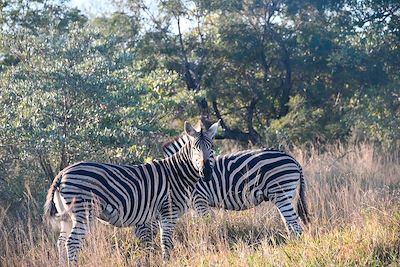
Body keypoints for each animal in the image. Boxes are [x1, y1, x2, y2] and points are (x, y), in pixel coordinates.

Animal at [44, 121, 222, 266]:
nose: (206, 172)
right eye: (195, 148)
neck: (177, 173)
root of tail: (62, 173)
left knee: (61, 242)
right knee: (72, 243)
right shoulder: (168, 212)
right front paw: (166, 262)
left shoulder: (154, 217)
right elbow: (166, 243)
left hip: (67, 215)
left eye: (211, 148)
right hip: (84, 211)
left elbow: (153, 243)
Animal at [136, 133, 310, 241]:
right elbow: (198, 225)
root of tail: (292, 159)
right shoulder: (195, 204)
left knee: (295, 224)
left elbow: (207, 223)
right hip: (281, 196)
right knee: (289, 223)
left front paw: (213, 240)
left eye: (140, 222)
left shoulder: (200, 200)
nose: (140, 248)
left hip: (281, 192)